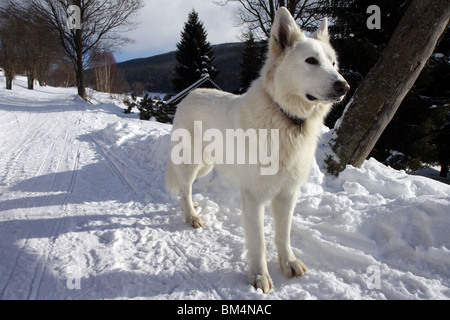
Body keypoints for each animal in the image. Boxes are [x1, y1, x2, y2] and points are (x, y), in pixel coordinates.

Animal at [167, 7, 350, 292]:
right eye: (311, 61)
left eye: (333, 64)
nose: (344, 87)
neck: (286, 119)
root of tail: (191, 94)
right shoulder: (254, 198)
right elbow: (259, 242)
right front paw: (259, 276)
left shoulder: (288, 194)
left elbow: (283, 234)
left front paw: (289, 263)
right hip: (191, 163)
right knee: (184, 188)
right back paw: (192, 216)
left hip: (206, 165)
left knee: (188, 188)